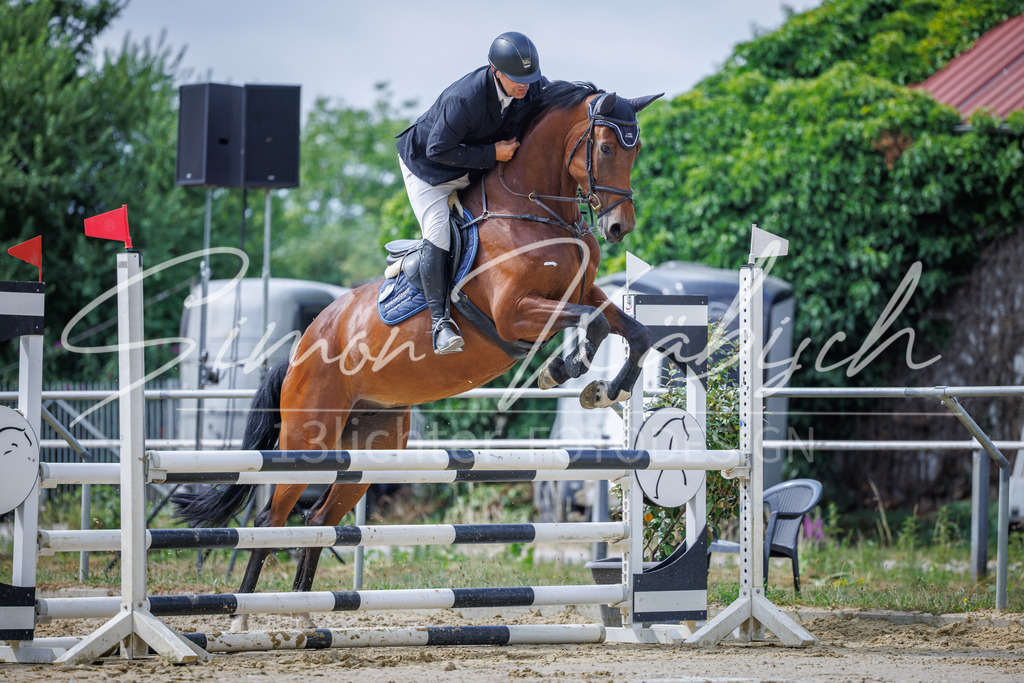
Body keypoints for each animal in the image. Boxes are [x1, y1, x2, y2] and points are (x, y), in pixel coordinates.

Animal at [173, 81, 661, 631]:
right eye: (606, 148)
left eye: (635, 150)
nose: (619, 227)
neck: (535, 210)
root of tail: (300, 350)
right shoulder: (515, 315)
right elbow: (593, 323)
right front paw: (563, 370)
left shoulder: (585, 292)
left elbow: (634, 330)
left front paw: (607, 389)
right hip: (307, 439)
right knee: (271, 520)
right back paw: (242, 619)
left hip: (369, 448)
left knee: (319, 520)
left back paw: (304, 620)